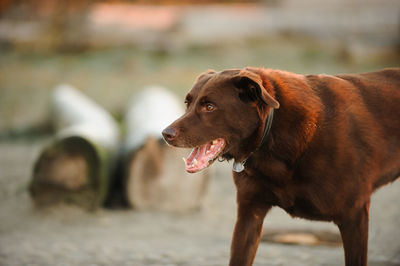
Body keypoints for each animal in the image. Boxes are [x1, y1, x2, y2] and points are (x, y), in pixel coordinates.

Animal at [162, 67, 400, 264]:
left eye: (209, 106)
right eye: (188, 103)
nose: (166, 134)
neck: (271, 135)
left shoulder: (354, 216)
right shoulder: (249, 214)